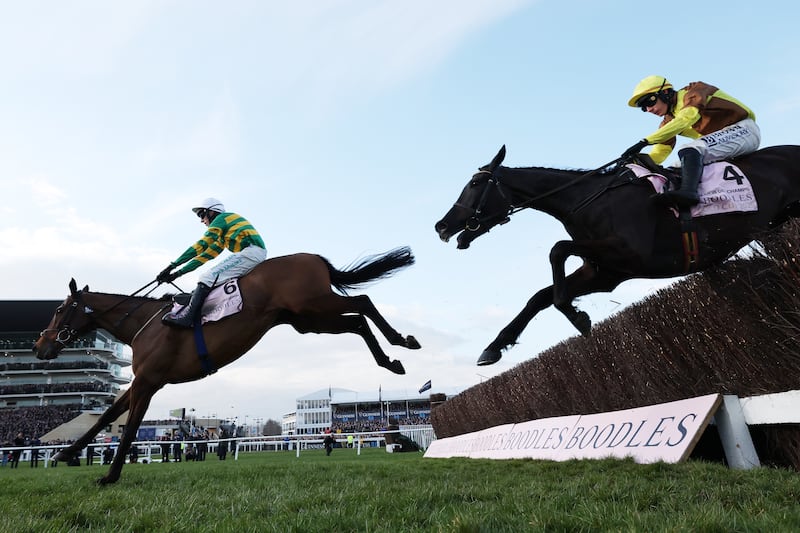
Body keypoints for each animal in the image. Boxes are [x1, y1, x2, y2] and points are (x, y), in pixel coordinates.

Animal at [32, 245, 418, 482]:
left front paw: (109, 475)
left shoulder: (149, 381)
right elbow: (108, 417)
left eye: (59, 309)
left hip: (314, 303)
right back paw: (390, 360)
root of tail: (313, 257)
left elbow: (128, 429)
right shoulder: (142, 380)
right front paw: (66, 454)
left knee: (363, 302)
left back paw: (402, 341)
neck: (145, 323)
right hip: (308, 318)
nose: (39, 346)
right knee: (357, 321)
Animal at [434, 143, 800, 364]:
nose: (442, 225)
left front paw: (577, 316)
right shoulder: (605, 271)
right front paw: (494, 346)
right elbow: (539, 296)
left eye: (475, 185)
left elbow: (557, 252)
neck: (589, 199)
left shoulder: (632, 252)